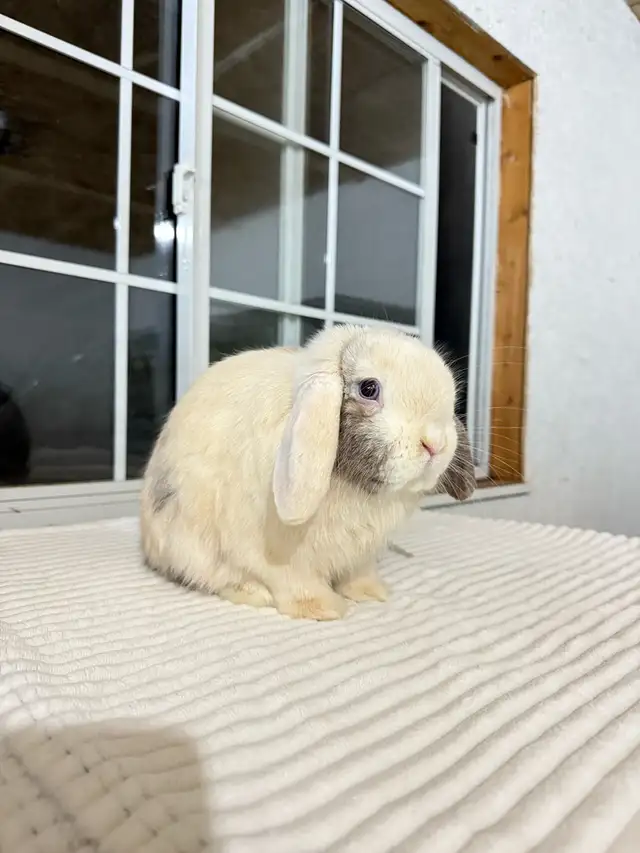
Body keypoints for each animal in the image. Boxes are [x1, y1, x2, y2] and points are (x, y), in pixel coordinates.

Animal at [140, 324, 475, 621]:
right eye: (369, 388)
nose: (435, 444)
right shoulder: (279, 558)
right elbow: (295, 582)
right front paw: (322, 609)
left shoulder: (361, 556)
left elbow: (359, 575)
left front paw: (371, 593)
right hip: (189, 542)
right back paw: (252, 592)